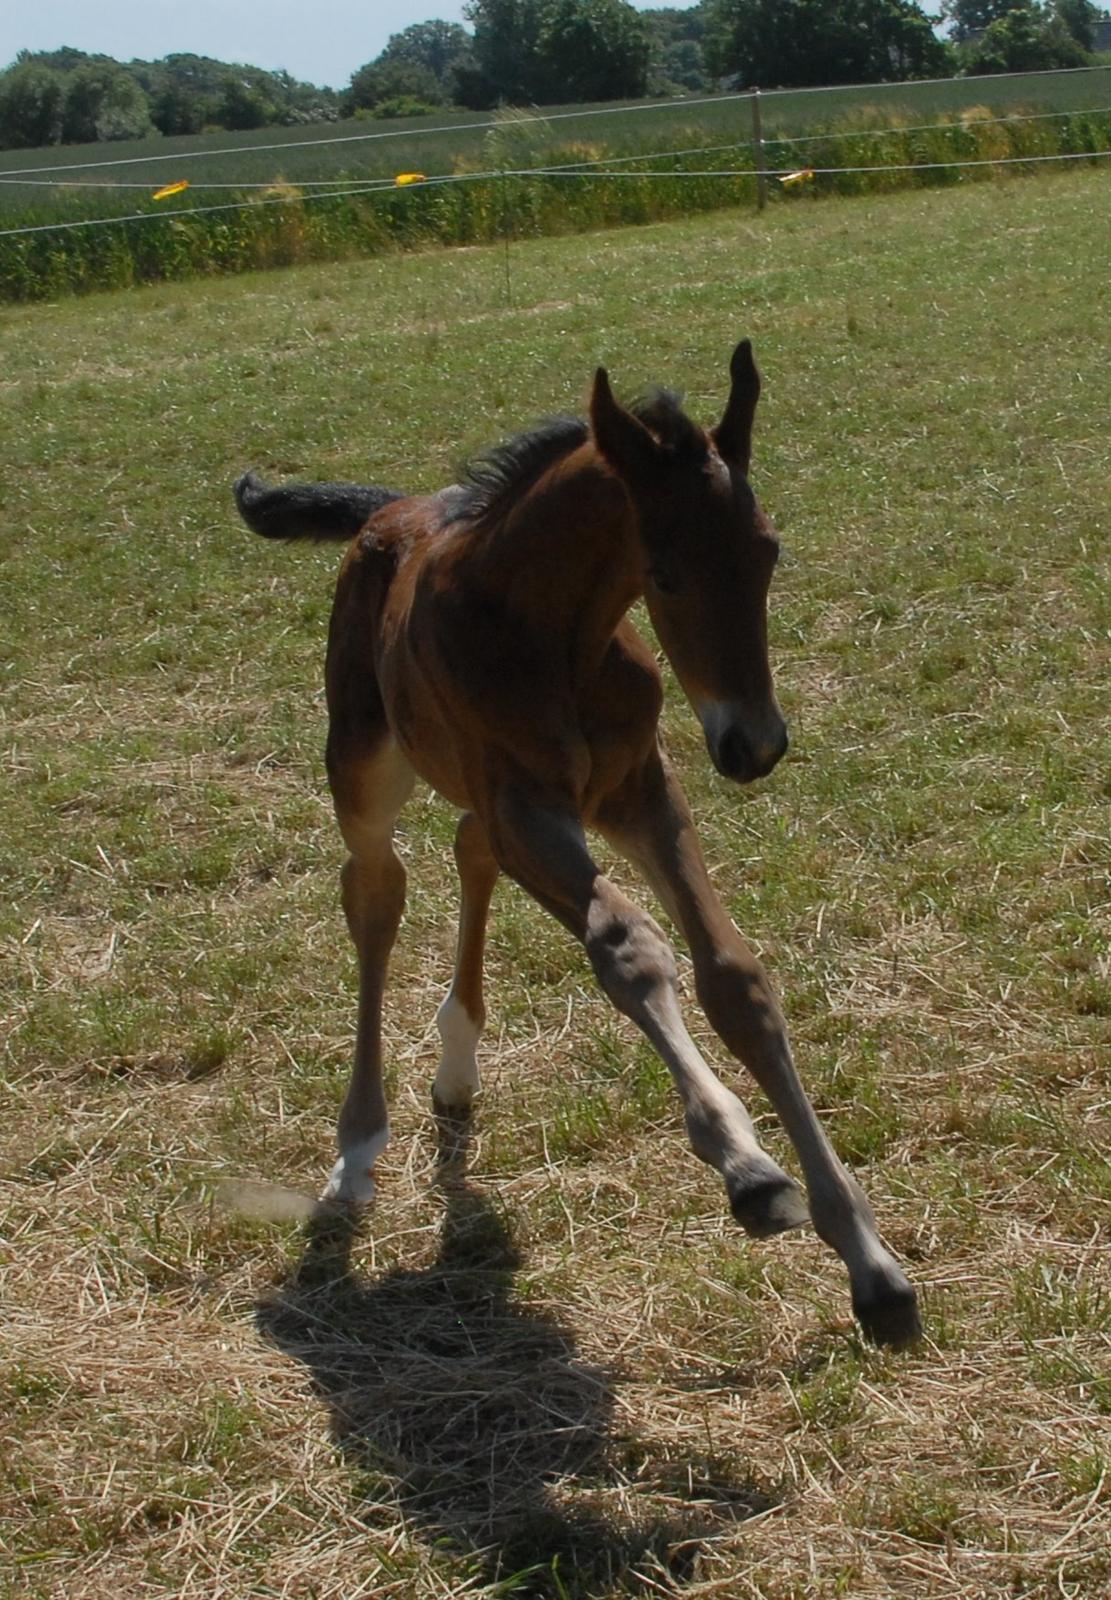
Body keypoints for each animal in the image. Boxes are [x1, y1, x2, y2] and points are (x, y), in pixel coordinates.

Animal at [240, 344, 928, 1344]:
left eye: (767, 551)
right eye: (666, 572)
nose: (755, 745)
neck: (548, 635)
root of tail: (391, 510)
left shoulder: (637, 791)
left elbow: (731, 974)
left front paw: (869, 1264)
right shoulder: (529, 807)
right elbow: (627, 946)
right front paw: (749, 1168)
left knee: (465, 848)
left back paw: (456, 1063)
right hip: (362, 765)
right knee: (375, 892)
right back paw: (358, 1147)